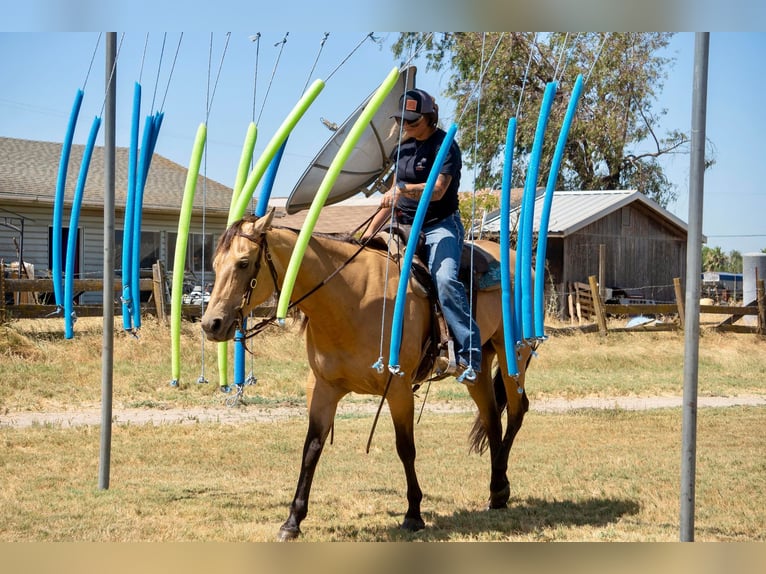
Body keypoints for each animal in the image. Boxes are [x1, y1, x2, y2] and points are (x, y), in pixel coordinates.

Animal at [201, 208, 534, 540]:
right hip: (478, 368)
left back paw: (500, 486)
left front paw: (413, 514)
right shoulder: (322, 388)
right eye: (215, 264)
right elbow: (311, 449)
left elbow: (405, 449)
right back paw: (496, 491)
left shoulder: (398, 388)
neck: (352, 300)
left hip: (513, 354)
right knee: (491, 417)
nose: (210, 324)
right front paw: (292, 520)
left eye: (244, 262)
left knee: (517, 410)